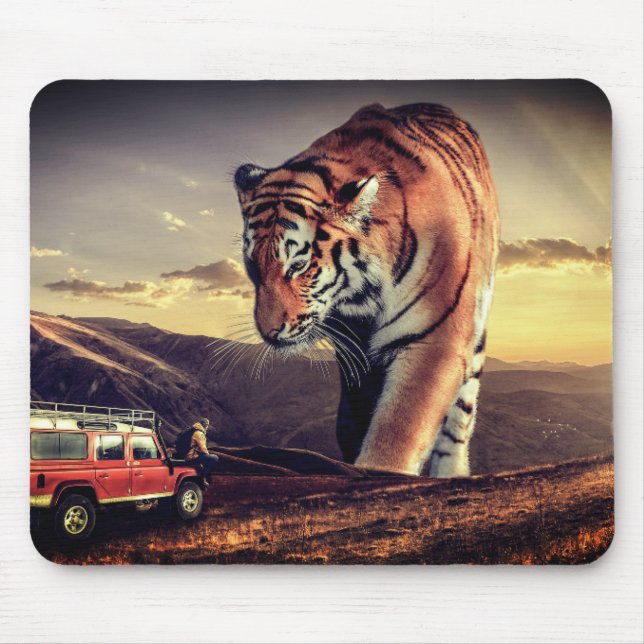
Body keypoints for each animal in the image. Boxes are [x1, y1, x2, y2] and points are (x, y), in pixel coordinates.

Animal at [233, 102, 499, 476]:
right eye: (253, 266)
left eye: (298, 265)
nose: (268, 331)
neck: (358, 301)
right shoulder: (353, 355)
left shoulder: (435, 339)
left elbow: (400, 427)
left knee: (459, 421)